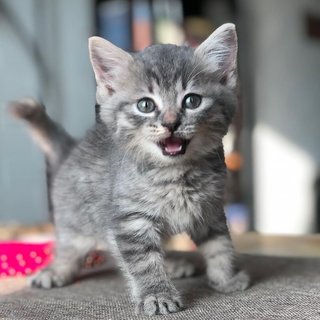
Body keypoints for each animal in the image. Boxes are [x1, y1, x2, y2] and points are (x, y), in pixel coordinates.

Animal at [8, 23, 250, 316]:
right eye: (145, 105)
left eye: (192, 101)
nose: (171, 123)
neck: (175, 174)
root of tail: (72, 148)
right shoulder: (129, 219)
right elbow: (143, 261)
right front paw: (157, 294)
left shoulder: (210, 209)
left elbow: (220, 245)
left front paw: (226, 278)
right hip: (74, 219)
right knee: (69, 247)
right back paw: (55, 270)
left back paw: (173, 264)